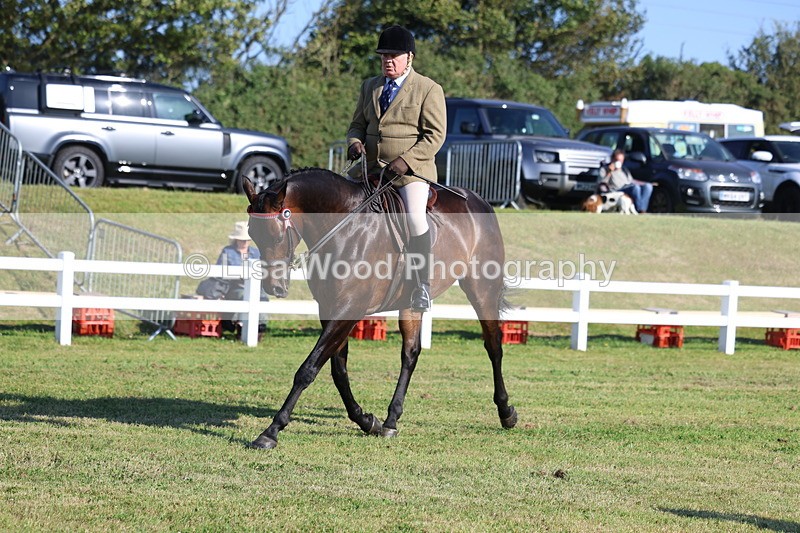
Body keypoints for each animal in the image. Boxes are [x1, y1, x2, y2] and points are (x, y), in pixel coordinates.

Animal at [242, 168, 517, 449]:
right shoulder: (330, 309)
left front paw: (271, 431)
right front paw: (366, 420)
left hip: (482, 290)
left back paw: (506, 412)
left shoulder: (348, 309)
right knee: (410, 354)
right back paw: (391, 420)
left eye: (276, 235)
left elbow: (308, 370)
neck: (343, 229)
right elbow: (338, 371)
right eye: (253, 234)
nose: (274, 287)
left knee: (493, 346)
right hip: (410, 305)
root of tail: (478, 200)